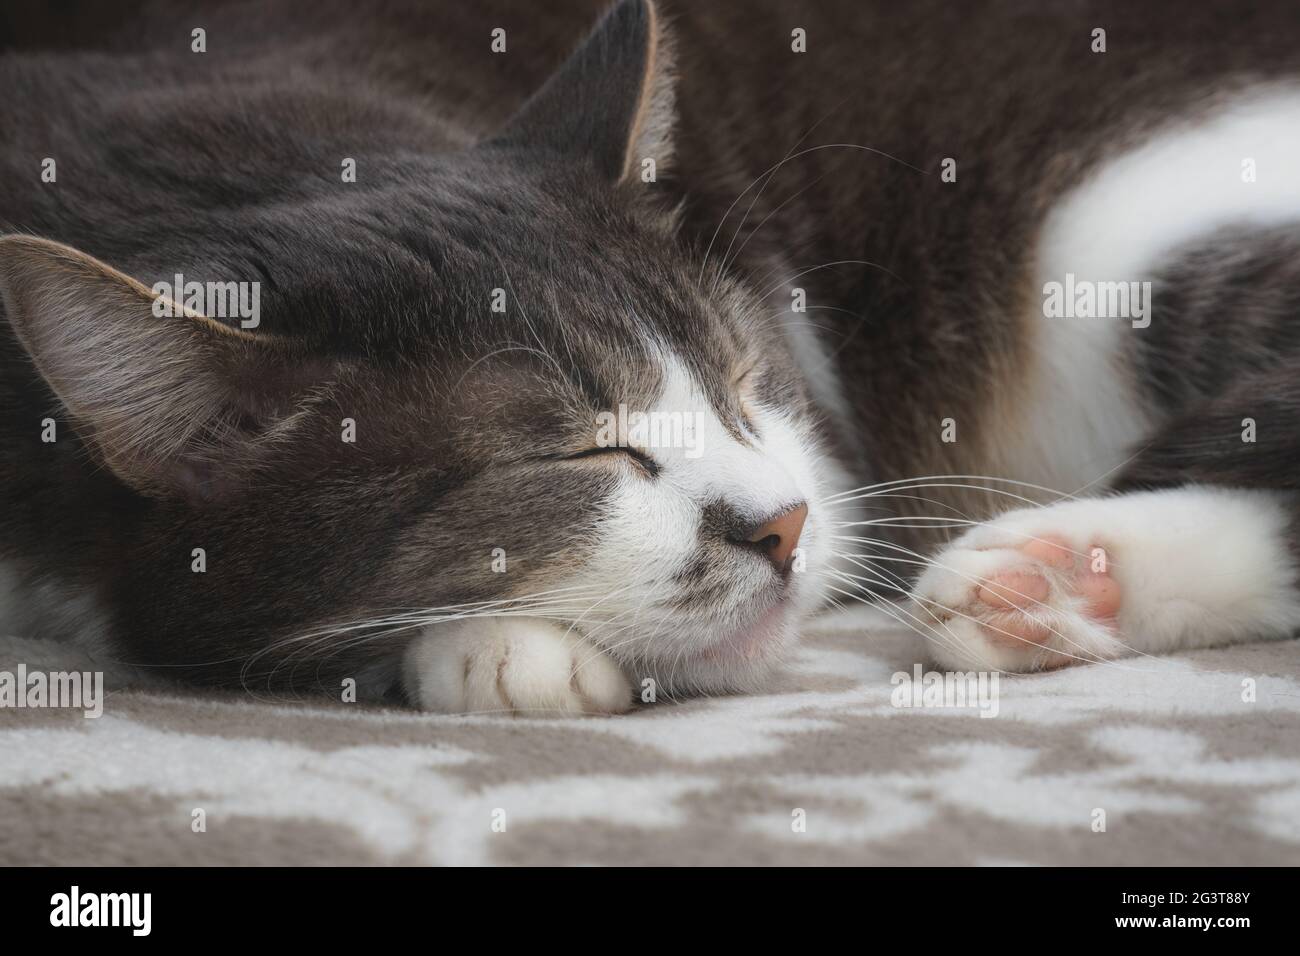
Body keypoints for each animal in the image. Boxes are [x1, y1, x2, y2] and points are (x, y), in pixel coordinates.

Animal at [2, 0, 1300, 712]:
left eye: (740, 378)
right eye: (575, 453)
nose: (780, 525)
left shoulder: (830, 454)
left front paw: (498, 652)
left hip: (1116, 242)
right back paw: (1054, 583)